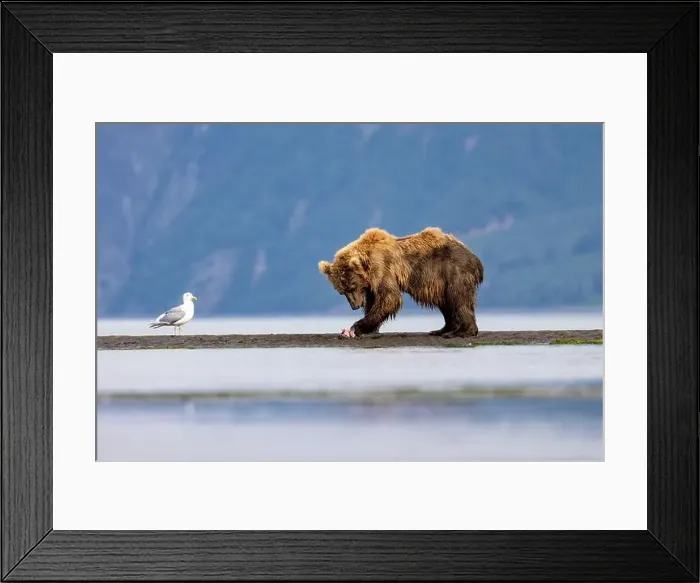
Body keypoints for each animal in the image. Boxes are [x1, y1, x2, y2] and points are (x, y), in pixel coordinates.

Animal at [318, 226, 484, 338]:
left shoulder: (383, 268)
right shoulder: (371, 284)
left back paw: (461, 331)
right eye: (342, 291)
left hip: (454, 271)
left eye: (352, 286)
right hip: (440, 281)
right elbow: (374, 301)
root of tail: (475, 257)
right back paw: (442, 330)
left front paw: (357, 326)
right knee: (445, 302)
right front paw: (369, 328)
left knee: (458, 299)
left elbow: (389, 298)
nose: (355, 306)